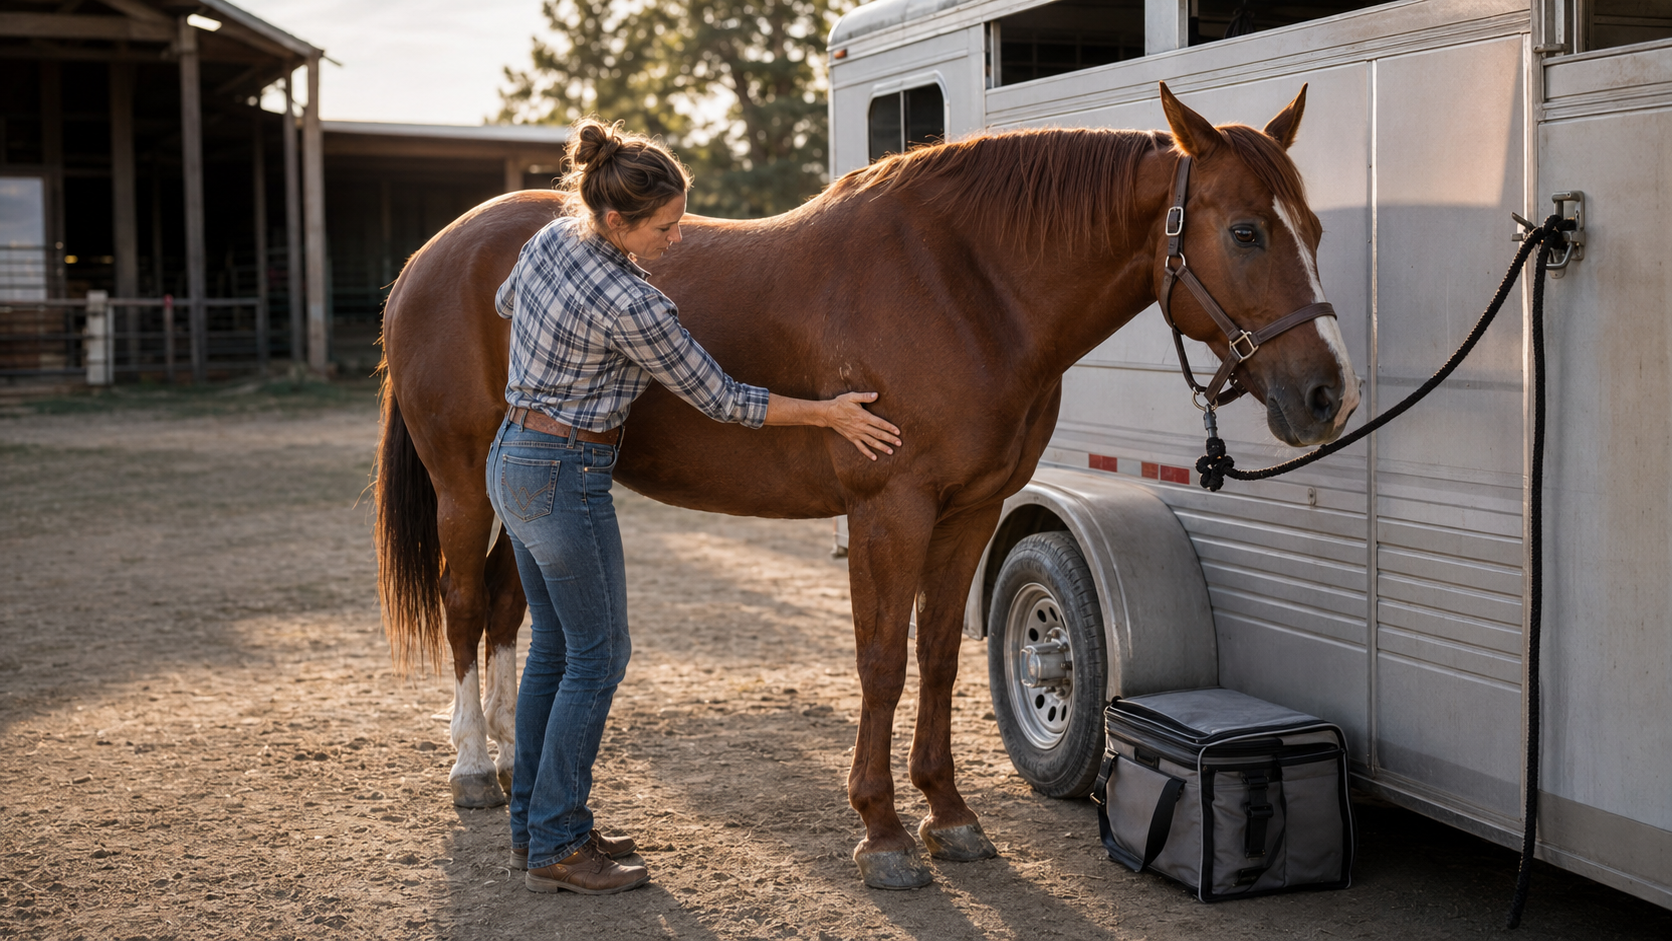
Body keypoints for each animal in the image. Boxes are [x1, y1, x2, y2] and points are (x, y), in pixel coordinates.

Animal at [373, 83, 1359, 889]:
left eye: (1315, 233)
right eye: (1245, 231)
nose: (1328, 394)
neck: (969, 287)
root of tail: (435, 253)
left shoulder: (969, 512)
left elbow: (940, 657)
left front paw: (949, 817)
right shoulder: (892, 511)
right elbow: (881, 660)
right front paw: (883, 833)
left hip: (522, 509)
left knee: (510, 609)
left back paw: (512, 760)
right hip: (466, 485)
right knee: (466, 604)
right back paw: (472, 767)